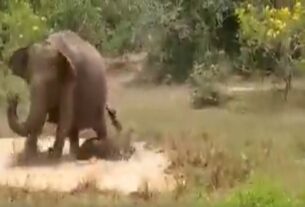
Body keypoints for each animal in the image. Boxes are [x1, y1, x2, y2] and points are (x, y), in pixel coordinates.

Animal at [6, 30, 121, 159]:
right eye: (29, 81)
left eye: (51, 83)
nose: (14, 97)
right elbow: (40, 119)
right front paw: (29, 157)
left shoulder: (71, 80)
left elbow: (65, 117)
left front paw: (52, 157)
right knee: (73, 130)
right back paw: (74, 154)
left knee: (99, 127)